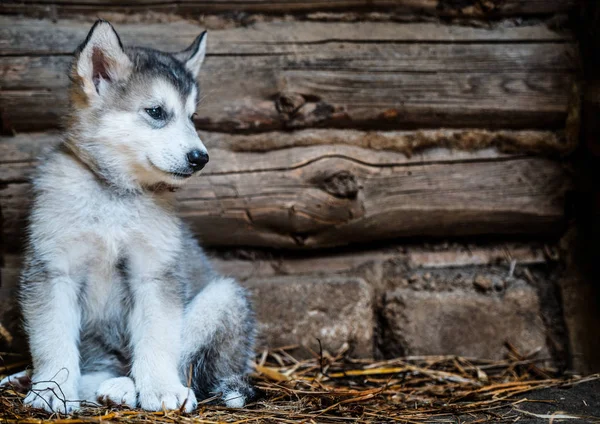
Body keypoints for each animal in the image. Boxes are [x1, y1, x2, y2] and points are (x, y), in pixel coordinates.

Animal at [17, 20, 255, 414]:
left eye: (192, 118)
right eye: (156, 112)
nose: (200, 158)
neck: (114, 194)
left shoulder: (155, 273)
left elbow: (158, 339)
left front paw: (161, 389)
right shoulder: (54, 270)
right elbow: (53, 341)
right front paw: (51, 389)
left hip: (220, 298)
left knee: (183, 361)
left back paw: (130, 387)